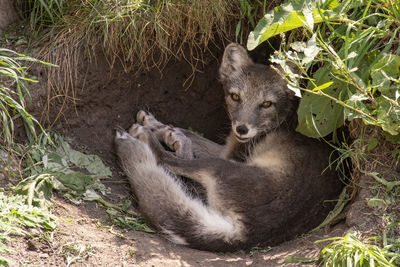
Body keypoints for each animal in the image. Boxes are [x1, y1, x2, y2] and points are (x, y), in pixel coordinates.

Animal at [114, 43, 342, 252]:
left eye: (267, 104)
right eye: (235, 97)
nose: (242, 129)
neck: (285, 118)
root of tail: (247, 235)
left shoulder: (232, 154)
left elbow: (184, 145)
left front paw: (156, 130)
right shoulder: (227, 149)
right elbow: (190, 133)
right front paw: (160, 126)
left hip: (219, 167)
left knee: (171, 163)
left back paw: (145, 137)